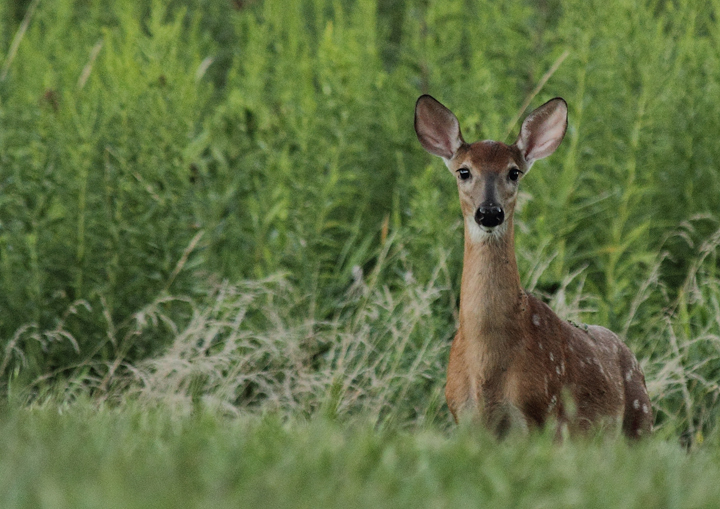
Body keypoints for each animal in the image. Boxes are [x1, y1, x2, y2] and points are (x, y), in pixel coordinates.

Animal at [414, 94, 652, 439]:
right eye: (463, 171)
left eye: (514, 172)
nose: (489, 212)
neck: (487, 365)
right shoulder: (465, 416)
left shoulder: (543, 412)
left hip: (640, 420)